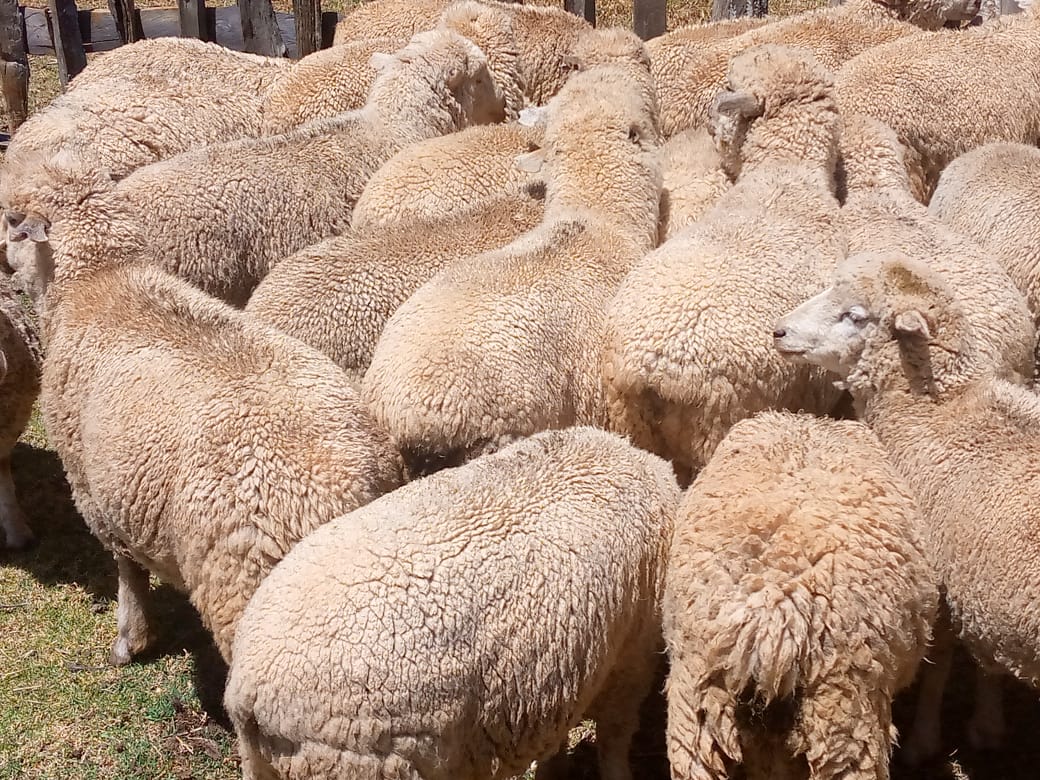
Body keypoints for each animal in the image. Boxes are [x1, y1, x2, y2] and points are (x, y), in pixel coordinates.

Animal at [2, 163, 405, 665]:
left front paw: (129, 640)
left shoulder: (92, 489)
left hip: (242, 579)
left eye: (9, 219)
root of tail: (350, 488)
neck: (100, 279)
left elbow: (127, 571)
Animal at [225, 426, 680, 780]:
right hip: (363, 765)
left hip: (267, 764)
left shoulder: (569, 671)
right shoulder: (630, 659)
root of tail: (249, 689)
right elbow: (614, 739)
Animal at [602, 44, 847, 485]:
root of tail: (647, 368)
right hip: (718, 421)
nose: (708, 124)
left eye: (729, 86)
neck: (785, 176)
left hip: (629, 421)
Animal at [774, 249, 1040, 763]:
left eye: (856, 316)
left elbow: (939, 670)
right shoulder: (976, 587)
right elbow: (989, 664)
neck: (937, 410)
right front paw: (988, 725)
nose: (779, 331)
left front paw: (925, 739)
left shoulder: (943, 588)